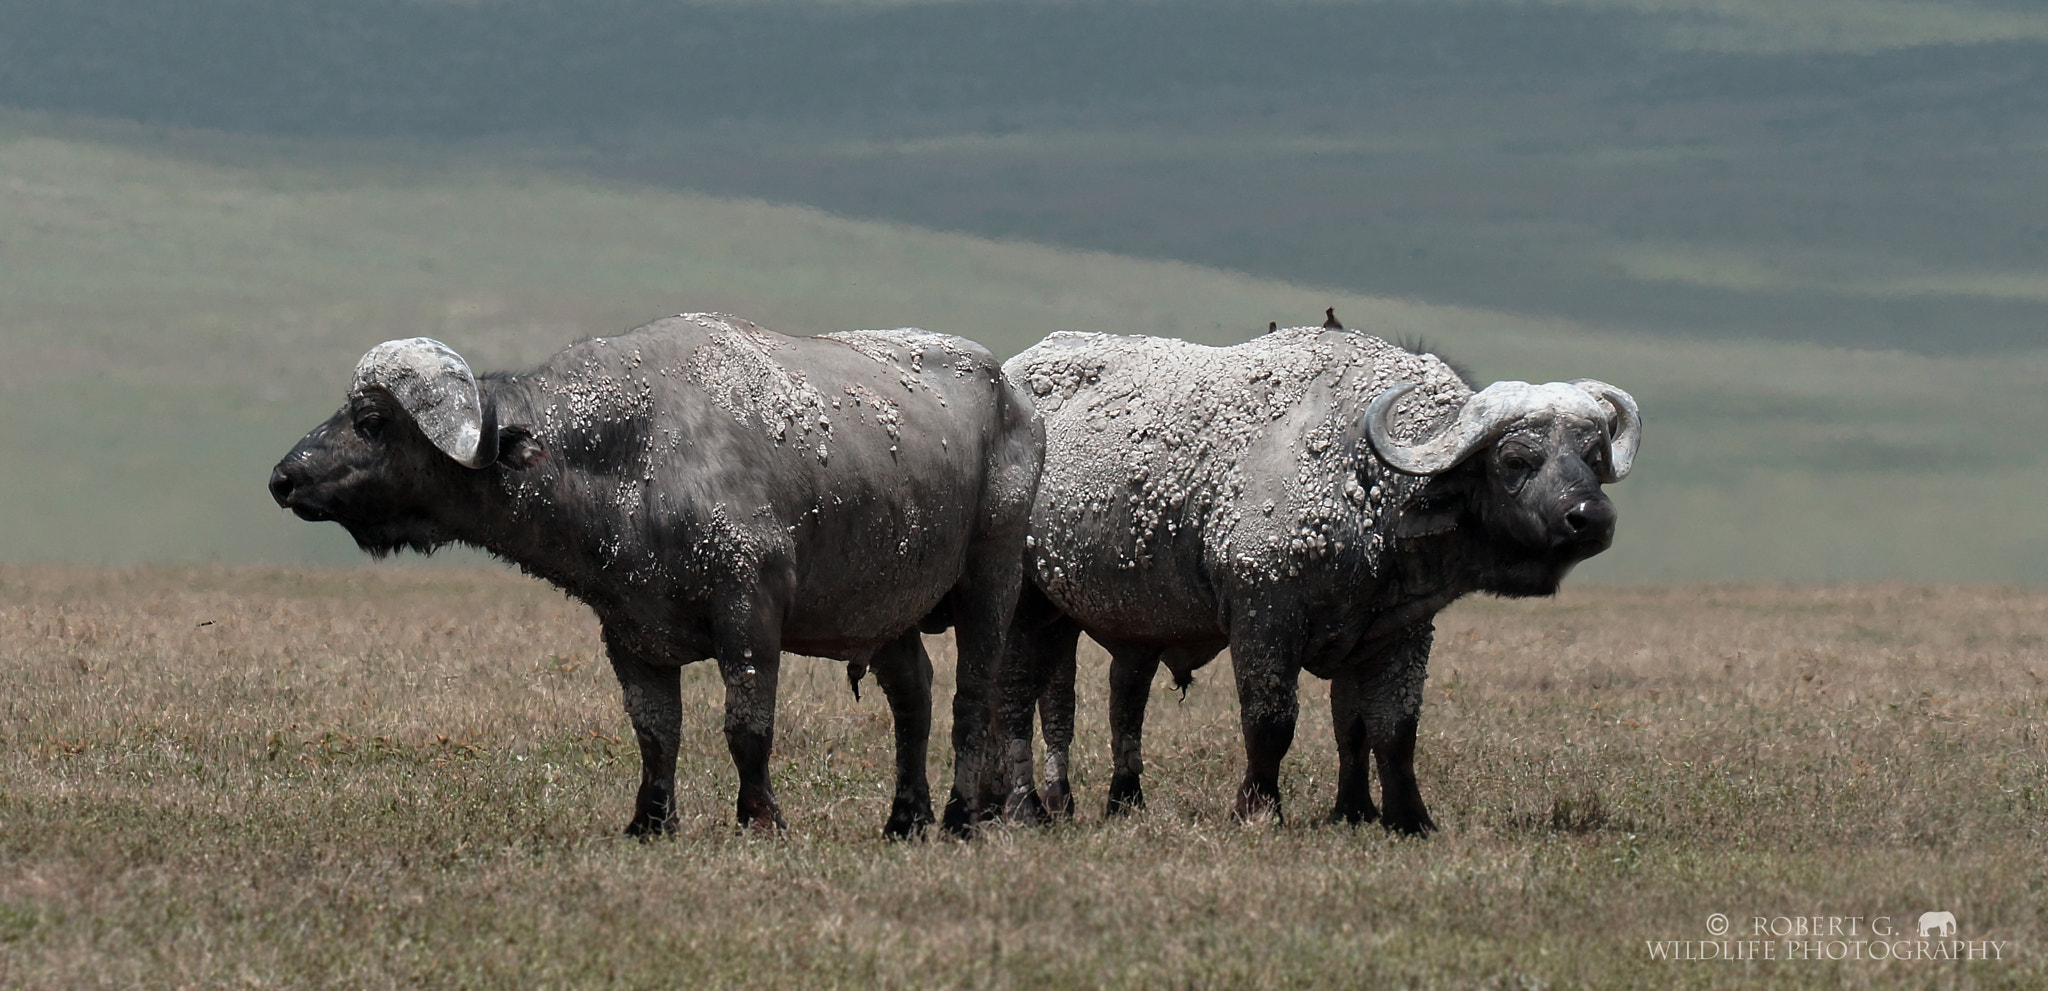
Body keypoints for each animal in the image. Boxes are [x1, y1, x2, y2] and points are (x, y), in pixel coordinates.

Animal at [272, 313, 1040, 839]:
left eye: (370, 419)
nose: (283, 477)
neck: (628, 454)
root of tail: (1011, 394)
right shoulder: (629, 632)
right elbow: (654, 731)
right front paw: (650, 821)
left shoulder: (749, 611)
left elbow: (746, 726)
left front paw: (760, 818)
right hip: (886, 613)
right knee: (914, 698)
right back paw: (903, 818)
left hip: (992, 577)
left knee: (973, 698)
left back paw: (960, 816)